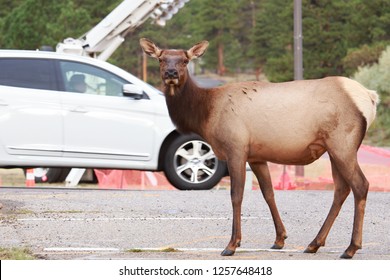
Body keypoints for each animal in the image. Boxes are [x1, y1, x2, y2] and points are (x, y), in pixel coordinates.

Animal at [139, 37, 378, 258]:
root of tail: (370, 97)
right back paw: (314, 243)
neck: (206, 114)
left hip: (343, 142)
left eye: (185, 60)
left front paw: (232, 244)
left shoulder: (236, 147)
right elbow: (268, 193)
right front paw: (280, 239)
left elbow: (236, 195)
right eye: (161, 59)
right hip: (333, 147)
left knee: (361, 185)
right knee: (341, 189)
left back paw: (351, 248)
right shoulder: (256, 156)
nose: (171, 73)